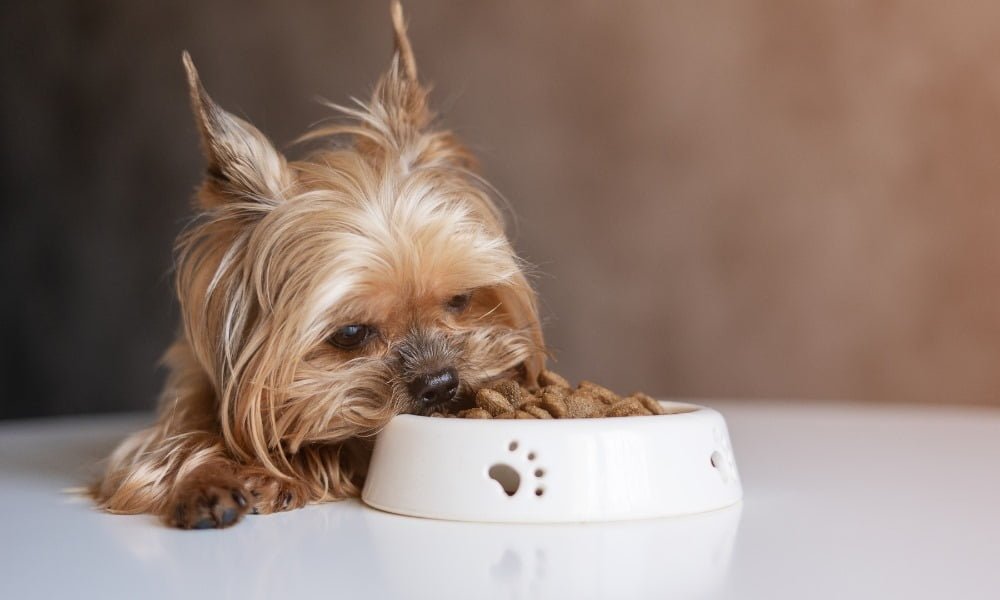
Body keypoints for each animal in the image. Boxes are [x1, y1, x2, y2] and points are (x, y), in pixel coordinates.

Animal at [92, 3, 548, 528]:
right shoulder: (176, 409)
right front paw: (207, 483)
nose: (440, 383)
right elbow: (160, 455)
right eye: (349, 334)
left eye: (460, 299)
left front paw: (278, 473)